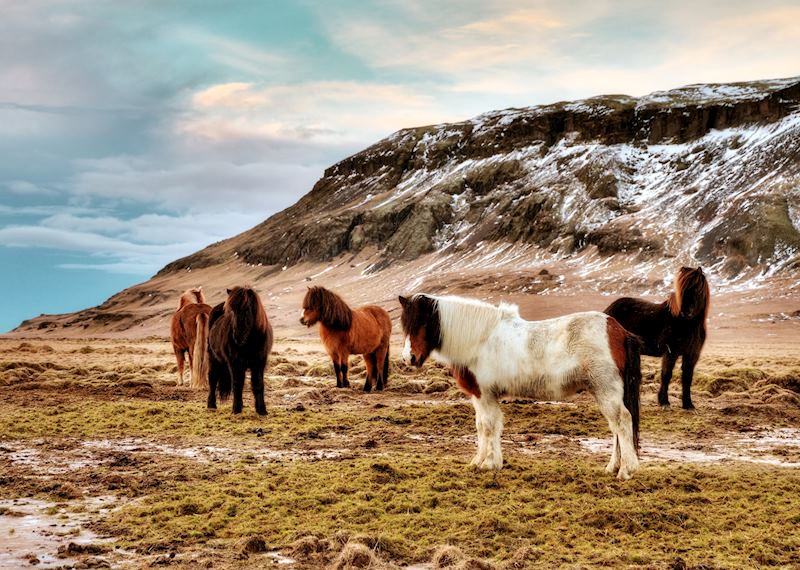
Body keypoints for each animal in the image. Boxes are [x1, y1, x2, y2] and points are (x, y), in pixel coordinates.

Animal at [202, 287, 273, 415]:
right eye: (232, 311)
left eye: (247, 309)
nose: (237, 337)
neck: (250, 342)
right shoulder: (235, 363)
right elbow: (237, 384)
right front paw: (236, 409)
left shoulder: (259, 362)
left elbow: (258, 384)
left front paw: (261, 410)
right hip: (213, 359)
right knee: (212, 380)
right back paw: (211, 405)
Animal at [399, 294, 642, 480]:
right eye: (405, 325)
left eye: (422, 323)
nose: (409, 358)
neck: (480, 340)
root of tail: (618, 330)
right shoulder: (480, 396)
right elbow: (483, 426)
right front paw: (480, 461)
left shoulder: (485, 395)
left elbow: (488, 427)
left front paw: (488, 463)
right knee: (615, 428)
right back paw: (612, 467)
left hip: (606, 390)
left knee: (622, 422)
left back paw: (626, 470)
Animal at [604, 266, 709, 410]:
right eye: (682, 290)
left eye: (697, 288)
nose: (685, 312)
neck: (686, 324)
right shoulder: (670, 352)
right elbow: (666, 375)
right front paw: (664, 402)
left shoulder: (692, 354)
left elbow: (687, 377)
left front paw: (688, 405)